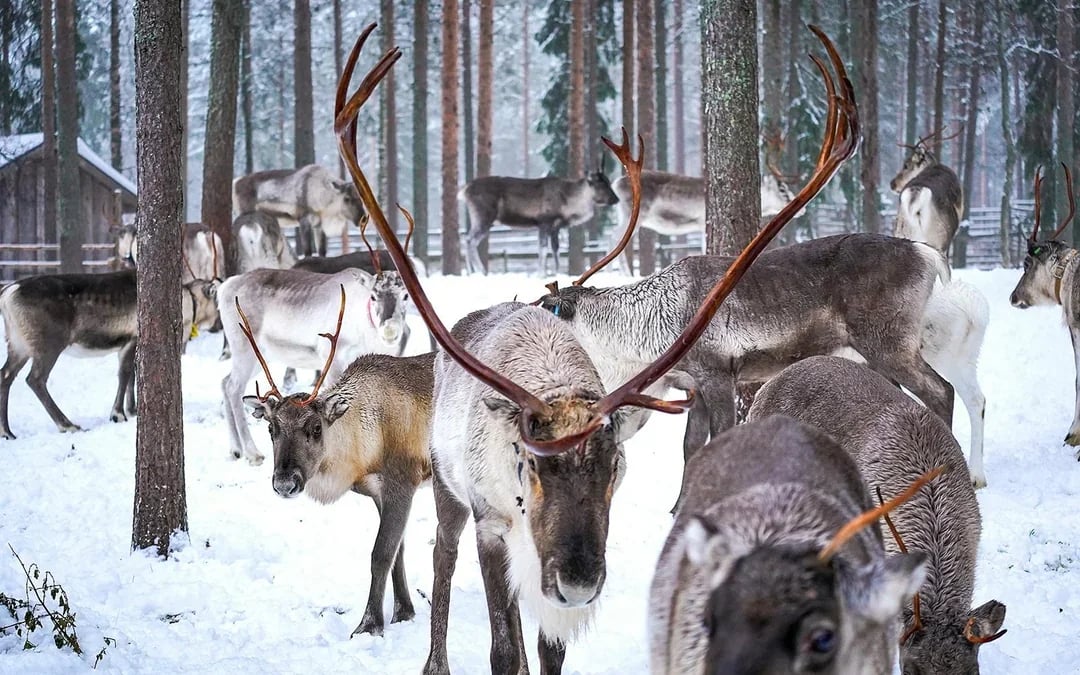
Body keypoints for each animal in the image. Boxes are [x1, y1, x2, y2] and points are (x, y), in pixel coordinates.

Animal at [0, 269, 220, 439]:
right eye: (216, 304)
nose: (219, 326)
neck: (186, 303)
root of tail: (7, 293)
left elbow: (132, 376)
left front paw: (132, 409)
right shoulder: (132, 339)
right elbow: (125, 374)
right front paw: (118, 414)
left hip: (18, 344)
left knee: (6, 376)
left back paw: (7, 432)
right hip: (49, 345)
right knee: (35, 379)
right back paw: (67, 425)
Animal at [232, 164, 365, 258]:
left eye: (361, 198)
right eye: (347, 198)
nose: (362, 218)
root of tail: (235, 183)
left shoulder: (318, 224)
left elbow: (322, 251)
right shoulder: (304, 220)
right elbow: (308, 251)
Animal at [235, 286, 436, 637]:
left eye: (316, 428)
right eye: (271, 429)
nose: (285, 483)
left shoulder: (403, 481)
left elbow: (381, 553)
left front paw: (369, 624)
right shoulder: (379, 492)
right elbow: (397, 552)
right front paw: (404, 612)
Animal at [459, 167, 619, 276]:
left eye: (608, 181)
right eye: (601, 184)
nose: (616, 199)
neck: (569, 201)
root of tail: (465, 190)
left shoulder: (556, 227)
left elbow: (556, 250)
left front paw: (556, 272)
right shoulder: (544, 222)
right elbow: (542, 249)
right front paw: (541, 274)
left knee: (466, 239)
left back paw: (471, 271)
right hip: (484, 217)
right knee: (470, 241)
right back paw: (481, 270)